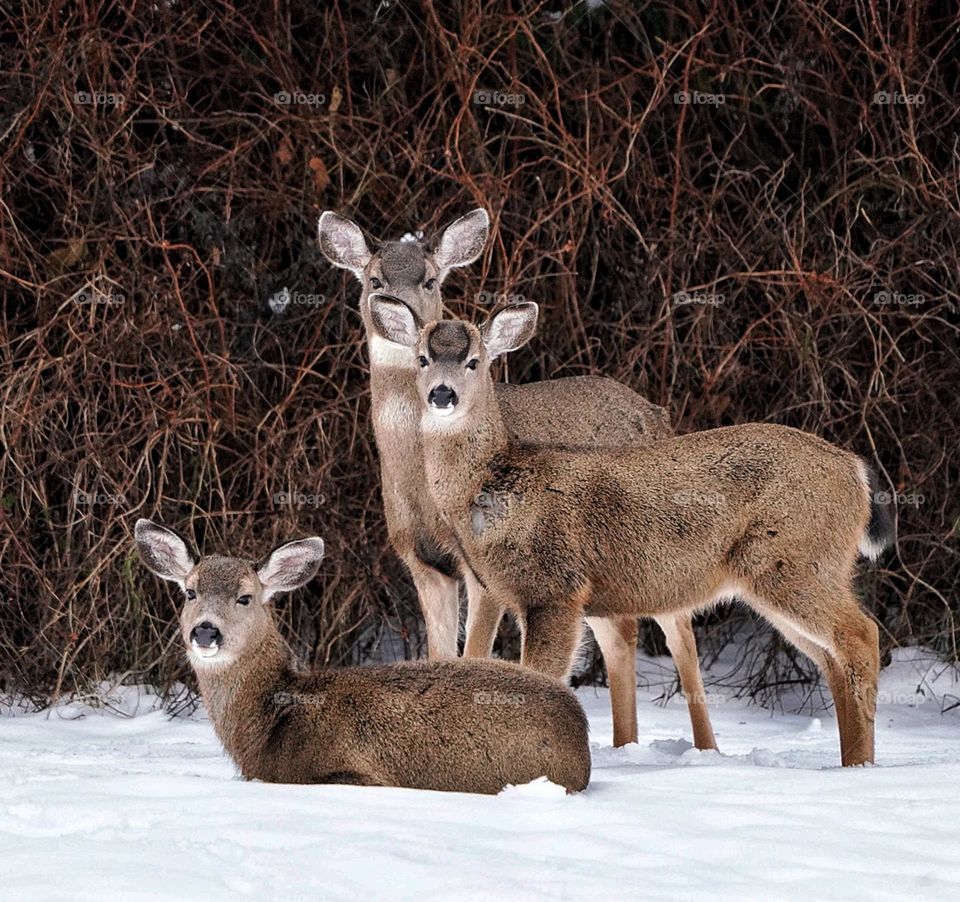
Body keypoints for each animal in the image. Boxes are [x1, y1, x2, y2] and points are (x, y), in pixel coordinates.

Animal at [135, 520, 592, 796]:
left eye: (245, 597)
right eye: (190, 592)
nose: (205, 631)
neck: (272, 718)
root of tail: (578, 727)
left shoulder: (354, 773)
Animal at [318, 208, 716, 752]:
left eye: (430, 279)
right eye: (374, 280)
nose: (401, 312)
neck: (422, 486)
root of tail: (657, 413)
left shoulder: (482, 572)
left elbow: (474, 656)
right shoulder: (421, 562)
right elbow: (440, 654)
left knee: (681, 636)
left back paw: (704, 748)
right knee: (620, 636)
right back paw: (624, 745)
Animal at [370, 300, 900, 768]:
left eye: (475, 362)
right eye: (422, 358)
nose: (442, 394)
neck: (497, 482)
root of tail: (855, 471)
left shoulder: (556, 589)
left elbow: (538, 677)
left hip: (793, 561)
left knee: (861, 634)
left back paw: (859, 767)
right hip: (788, 574)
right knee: (831, 657)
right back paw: (850, 762)